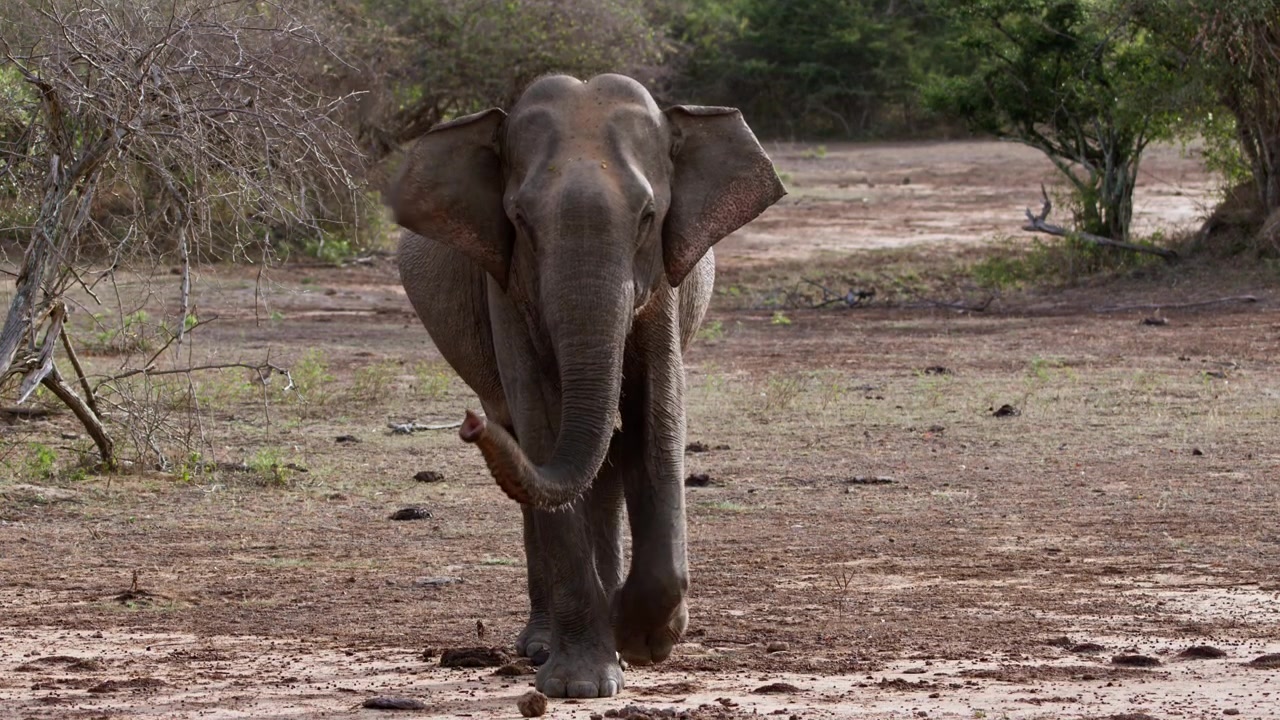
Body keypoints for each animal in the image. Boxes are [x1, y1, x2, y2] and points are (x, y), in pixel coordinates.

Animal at [389, 73, 785, 698]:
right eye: (520, 220)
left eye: (648, 216)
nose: (469, 425)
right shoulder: (503, 284)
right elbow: (544, 426)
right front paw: (581, 685)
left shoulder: (663, 278)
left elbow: (657, 414)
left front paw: (641, 640)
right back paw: (541, 646)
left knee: (606, 457)